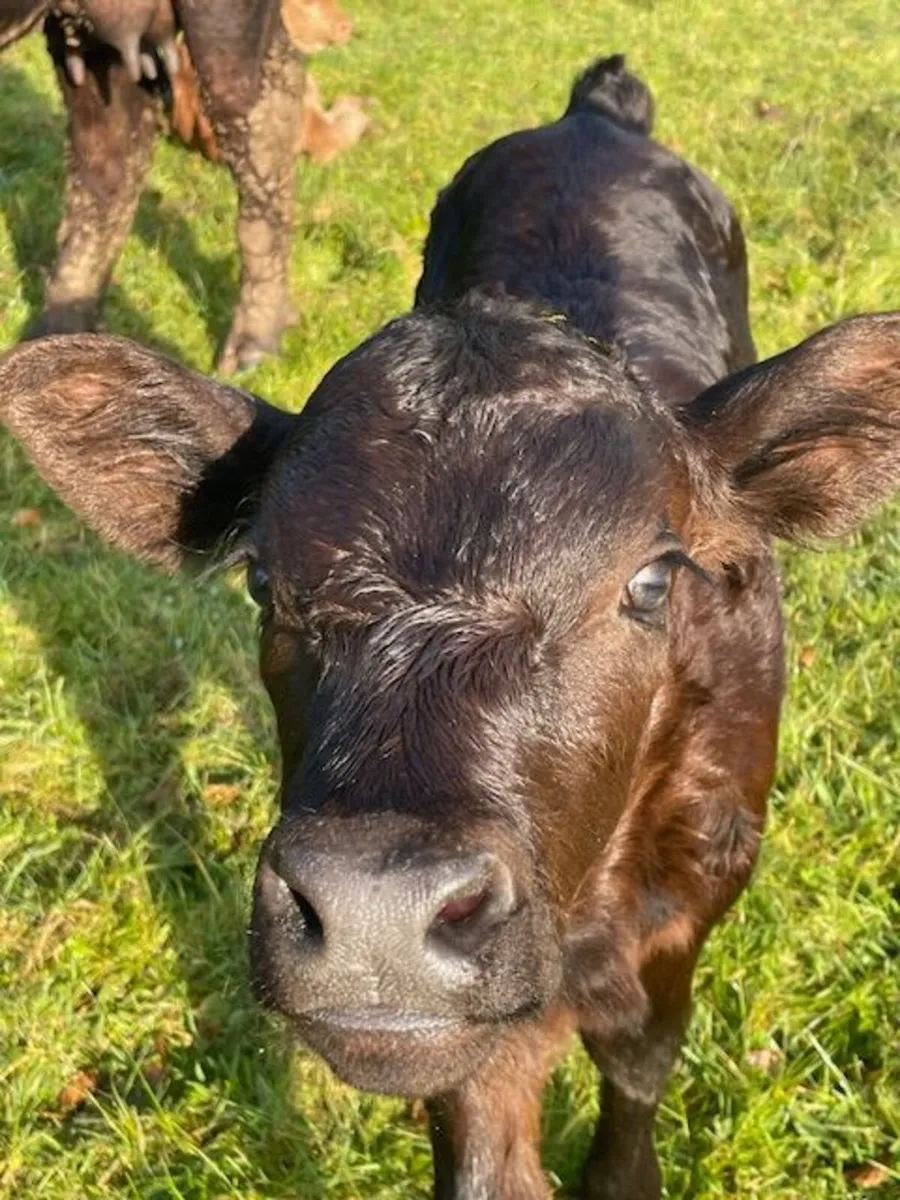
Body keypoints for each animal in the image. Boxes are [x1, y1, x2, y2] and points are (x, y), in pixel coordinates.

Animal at [0, 0, 362, 373]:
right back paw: (51, 341)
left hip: (226, 23)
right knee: (113, 149)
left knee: (263, 111)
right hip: (100, 41)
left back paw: (247, 357)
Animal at [1, 54, 898, 1200]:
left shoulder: (698, 883)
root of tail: (594, 115)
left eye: (654, 582)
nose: (375, 913)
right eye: (262, 581)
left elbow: (641, 1058)